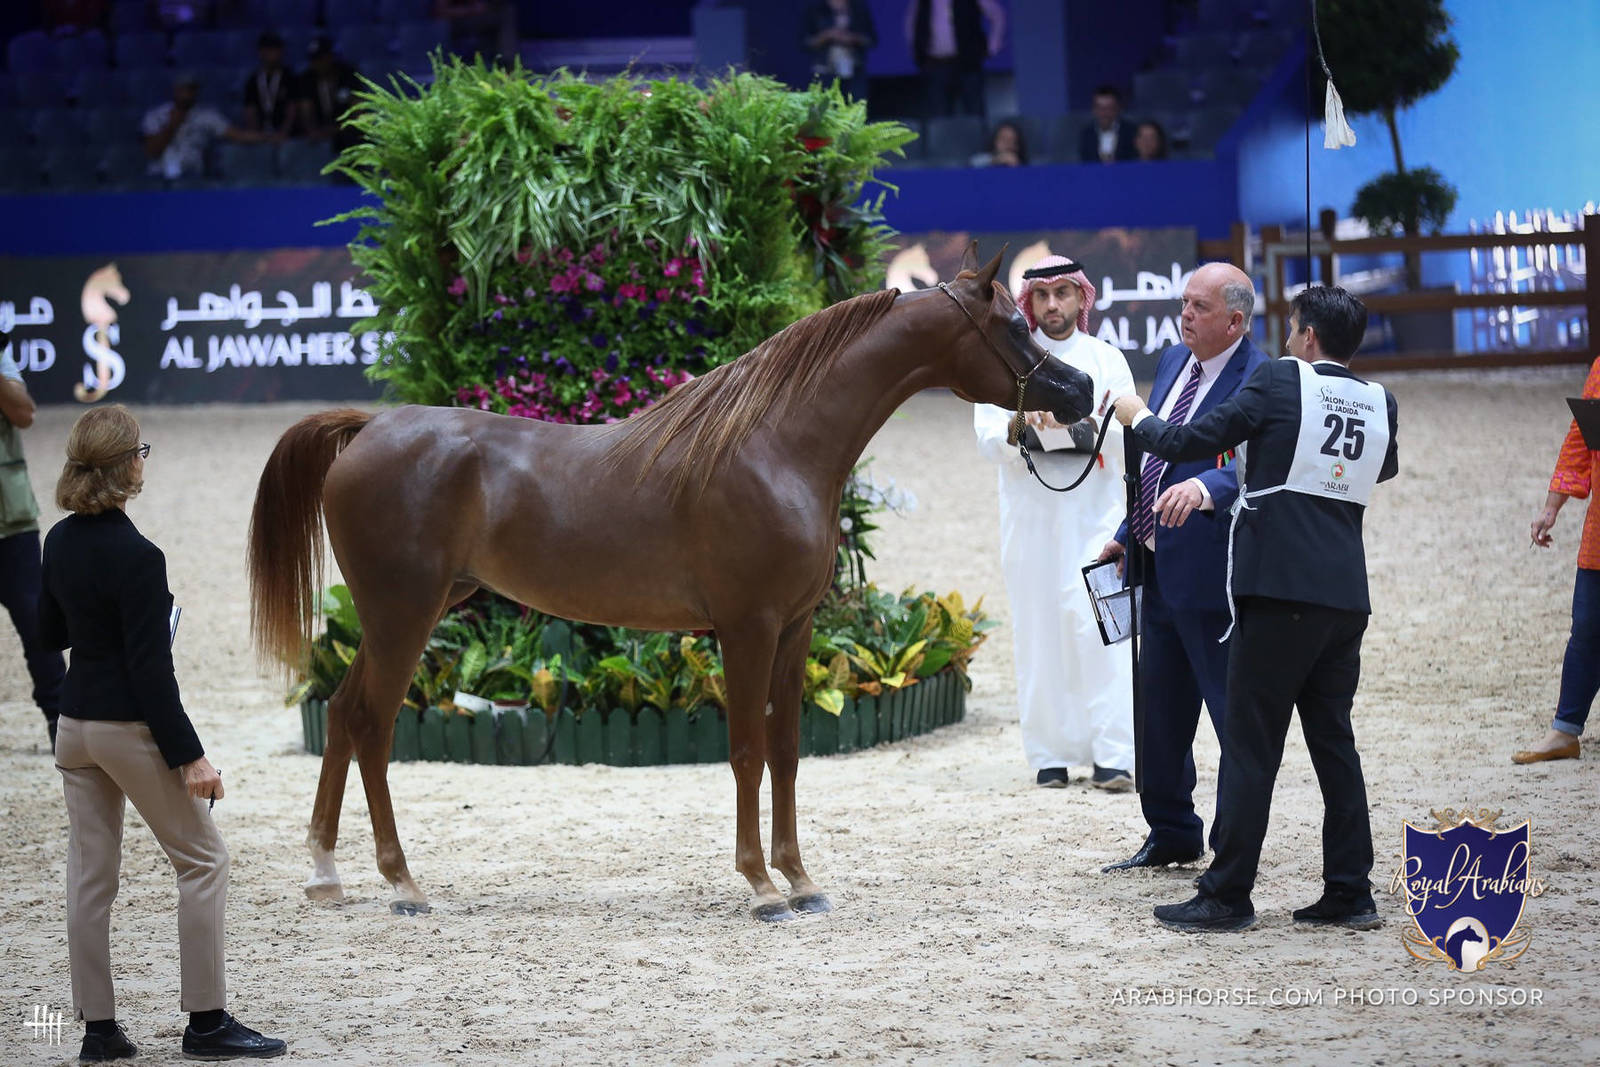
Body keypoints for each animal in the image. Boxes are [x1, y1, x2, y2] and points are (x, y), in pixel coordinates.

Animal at [248, 244, 1094, 921]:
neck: (776, 446)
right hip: (405, 613)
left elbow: (787, 749)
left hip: (397, 614)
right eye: (1014, 326)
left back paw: (327, 875)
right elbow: (746, 749)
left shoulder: (796, 627)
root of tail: (368, 428)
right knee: (371, 724)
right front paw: (761, 887)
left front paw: (801, 878)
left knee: (344, 713)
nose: (1082, 391)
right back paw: (403, 884)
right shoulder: (747, 627)